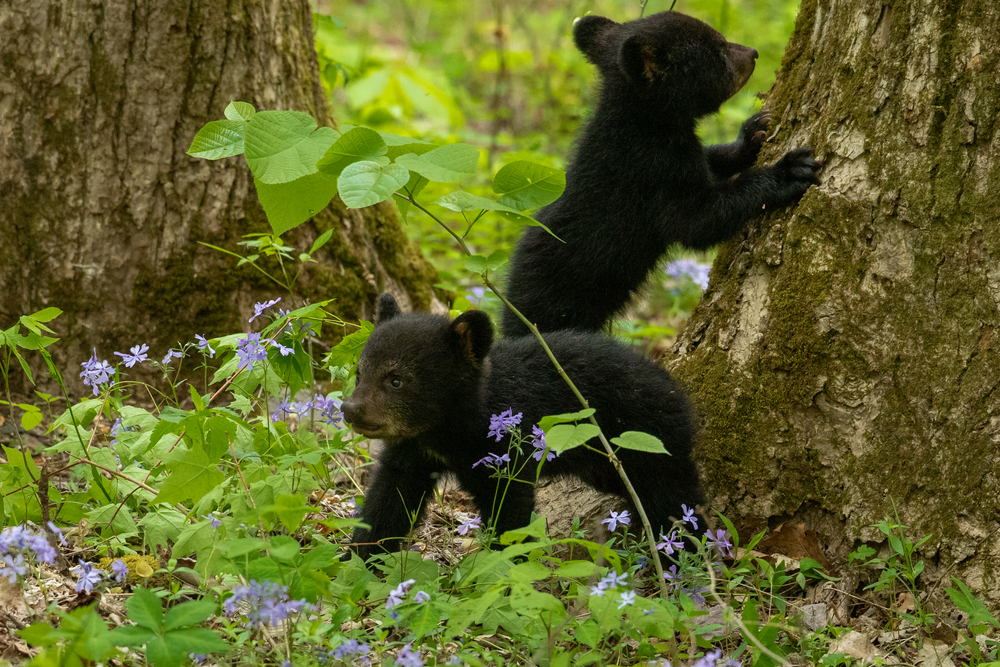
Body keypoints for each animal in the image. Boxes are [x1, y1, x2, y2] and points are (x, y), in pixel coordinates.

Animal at [342, 293, 705, 560]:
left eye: (396, 380)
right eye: (360, 372)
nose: (350, 409)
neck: (447, 430)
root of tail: (676, 390)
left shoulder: (500, 451)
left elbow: (510, 508)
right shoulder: (412, 450)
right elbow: (389, 498)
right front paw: (359, 558)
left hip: (648, 441)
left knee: (674, 500)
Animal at [501, 11, 823, 337]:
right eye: (718, 49)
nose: (753, 53)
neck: (646, 120)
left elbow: (708, 162)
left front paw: (752, 135)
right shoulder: (651, 166)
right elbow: (696, 219)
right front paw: (789, 171)